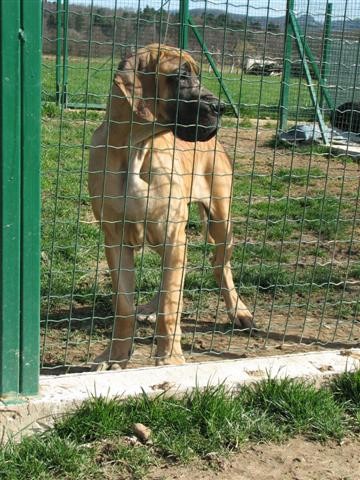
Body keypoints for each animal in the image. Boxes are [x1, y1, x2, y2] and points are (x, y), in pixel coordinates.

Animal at [89, 44, 255, 368]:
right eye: (180, 76)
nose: (219, 108)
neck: (135, 147)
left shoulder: (172, 236)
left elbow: (171, 303)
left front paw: (170, 358)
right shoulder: (116, 240)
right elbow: (125, 305)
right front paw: (116, 357)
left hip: (220, 221)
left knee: (219, 266)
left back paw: (239, 311)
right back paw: (149, 308)